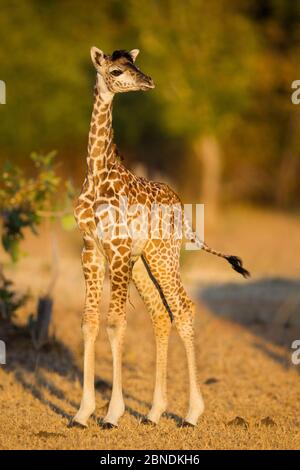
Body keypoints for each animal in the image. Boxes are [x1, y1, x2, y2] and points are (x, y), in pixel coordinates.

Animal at [70, 46, 248, 430]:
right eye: (117, 70)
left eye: (136, 65)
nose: (149, 81)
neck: (97, 174)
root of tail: (181, 205)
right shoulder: (91, 249)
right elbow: (89, 323)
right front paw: (81, 413)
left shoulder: (117, 248)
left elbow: (115, 324)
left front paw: (112, 414)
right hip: (144, 261)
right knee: (161, 316)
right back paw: (153, 413)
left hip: (164, 255)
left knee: (183, 308)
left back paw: (192, 414)